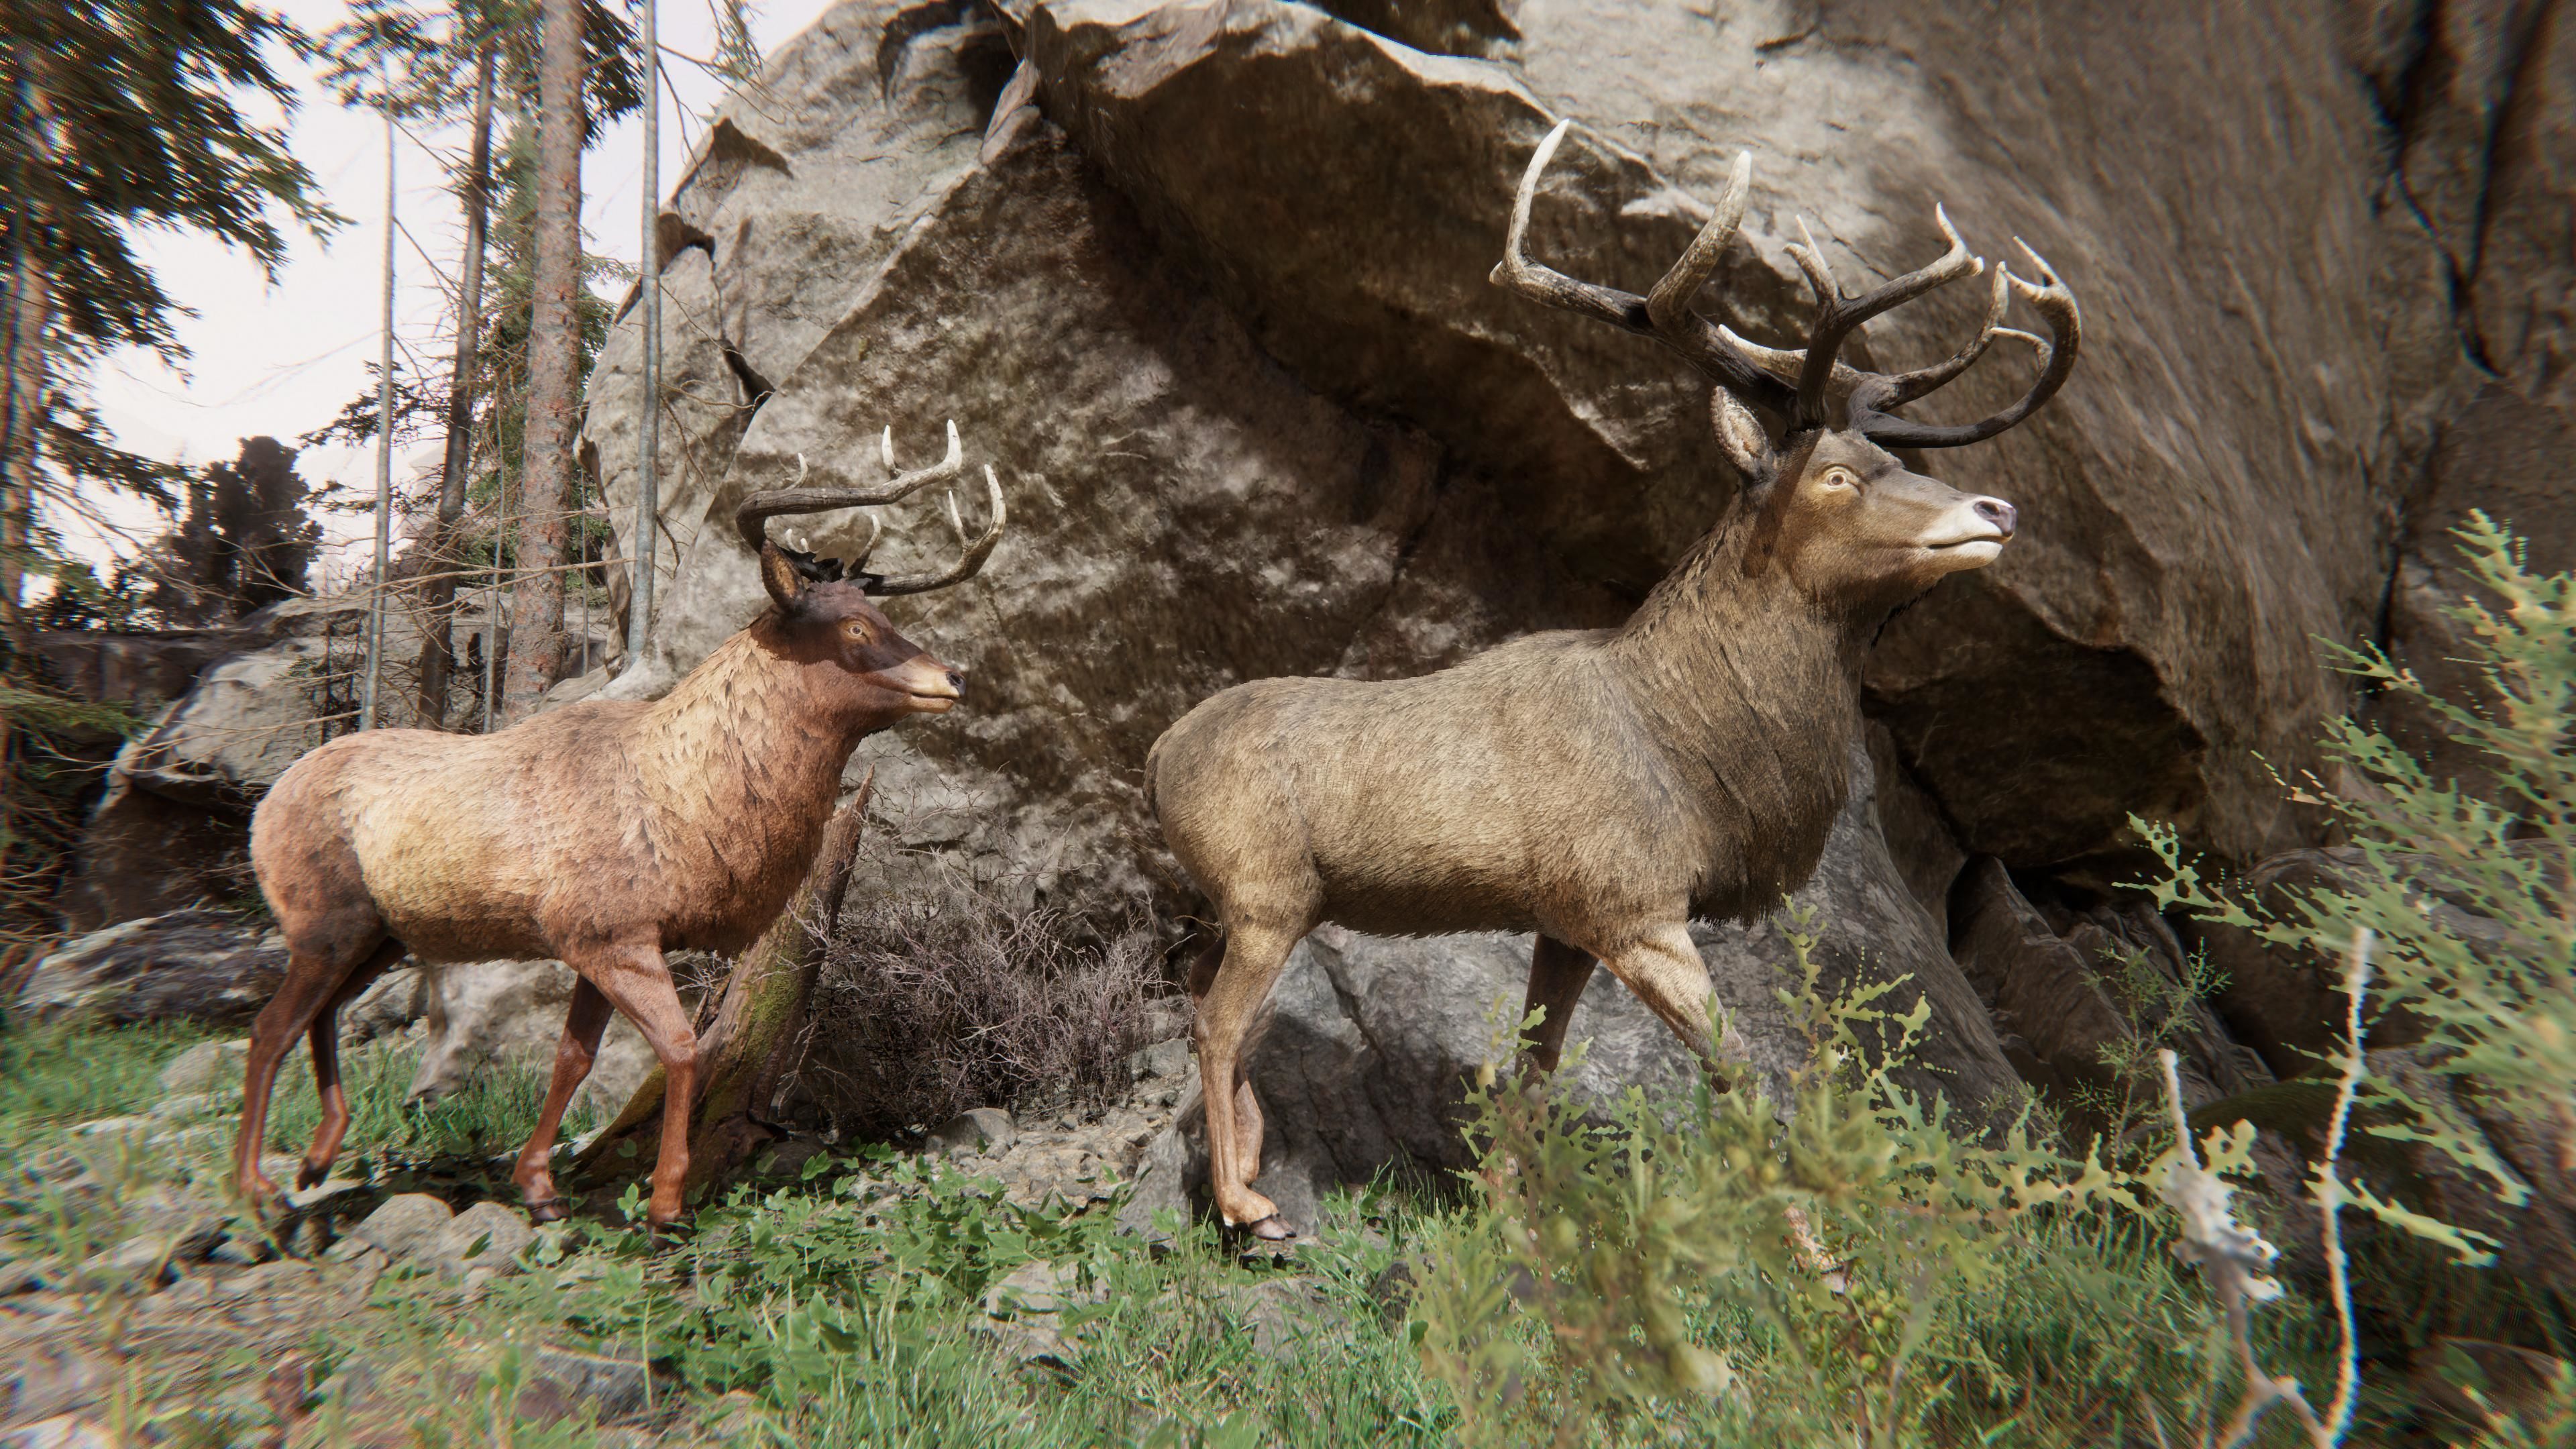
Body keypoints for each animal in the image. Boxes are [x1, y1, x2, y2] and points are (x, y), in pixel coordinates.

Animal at [235, 424, 1006, 1233]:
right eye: (855, 625)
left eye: (887, 615)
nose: (953, 678)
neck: (690, 810)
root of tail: (264, 806)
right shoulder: (612, 931)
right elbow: (682, 1047)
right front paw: (666, 1201)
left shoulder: (594, 940)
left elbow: (573, 1059)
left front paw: (539, 1185)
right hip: (321, 918)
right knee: (269, 1028)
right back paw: (257, 1190)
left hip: (377, 935)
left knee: (318, 1016)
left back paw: (320, 1156)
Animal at [1146, 120, 2082, 1238]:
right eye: (1835, 474)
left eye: (1902, 462)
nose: (1996, 510)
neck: (1692, 756)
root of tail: (1155, 760)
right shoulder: (1634, 903)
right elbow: (1739, 1081)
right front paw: (1821, 1260)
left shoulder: (1568, 920)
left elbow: (1536, 1068)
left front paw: (1508, 1216)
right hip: (1266, 887)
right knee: (1214, 1020)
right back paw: (1245, 1202)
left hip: (1248, 902)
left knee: (1210, 1003)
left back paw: (1250, 1175)